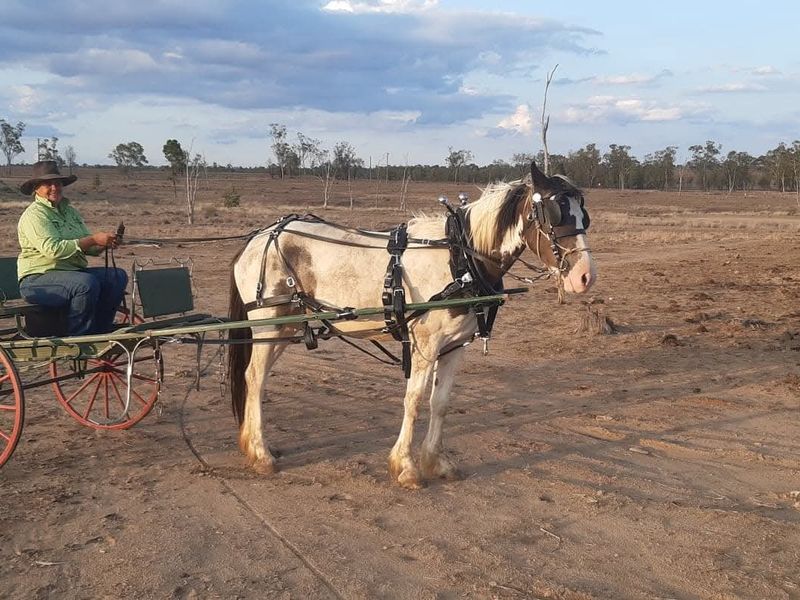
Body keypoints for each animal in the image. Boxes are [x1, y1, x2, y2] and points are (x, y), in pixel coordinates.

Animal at [227, 161, 596, 488]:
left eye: (584, 216)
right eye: (553, 213)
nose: (585, 277)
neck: (459, 258)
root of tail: (259, 236)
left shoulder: (455, 346)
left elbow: (440, 402)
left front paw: (436, 461)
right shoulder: (425, 344)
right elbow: (415, 400)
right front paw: (406, 467)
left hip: (284, 328)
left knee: (256, 377)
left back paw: (253, 443)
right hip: (267, 323)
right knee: (254, 377)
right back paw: (261, 454)